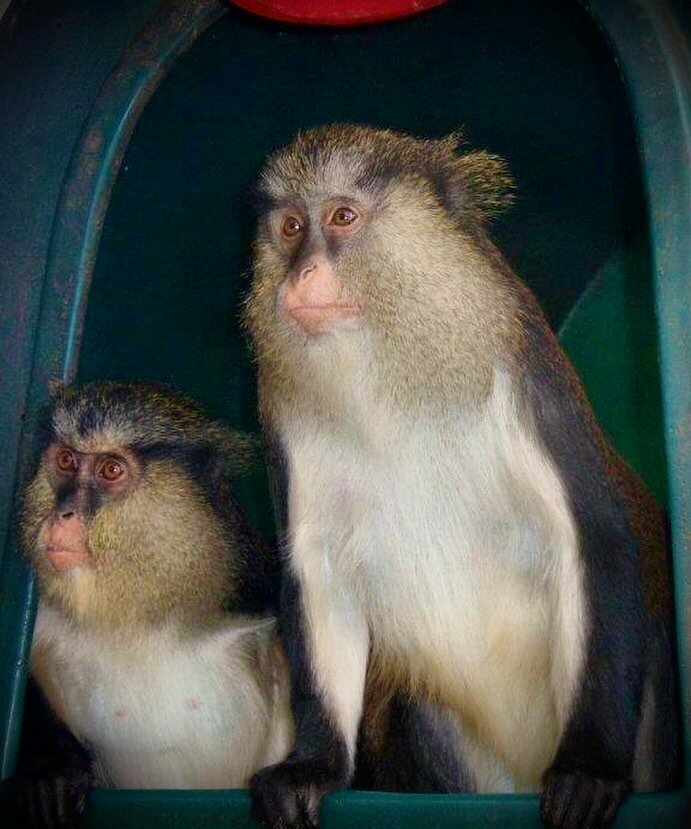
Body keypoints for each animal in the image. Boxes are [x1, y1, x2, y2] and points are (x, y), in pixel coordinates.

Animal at [13, 381, 293, 827]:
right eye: (67, 460)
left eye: (111, 470)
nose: (63, 514)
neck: (138, 616)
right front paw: (49, 768)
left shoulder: (259, 589)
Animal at [244, 124, 679, 829]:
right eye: (289, 227)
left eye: (341, 218)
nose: (302, 274)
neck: (387, 383)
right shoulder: (287, 426)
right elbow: (318, 573)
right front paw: (310, 766)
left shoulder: (528, 380)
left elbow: (595, 540)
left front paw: (589, 771)